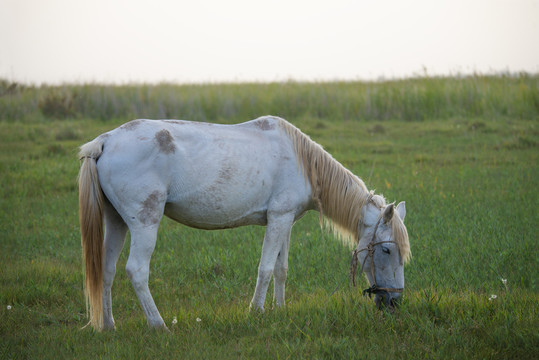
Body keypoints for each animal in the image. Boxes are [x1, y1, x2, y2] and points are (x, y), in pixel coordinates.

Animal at [78, 116, 412, 330]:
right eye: (387, 250)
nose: (395, 302)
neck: (303, 163)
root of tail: (105, 142)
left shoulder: (285, 222)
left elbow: (281, 270)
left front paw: (280, 310)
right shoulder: (278, 219)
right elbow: (264, 269)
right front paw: (257, 312)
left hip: (117, 222)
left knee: (106, 271)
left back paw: (108, 326)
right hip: (144, 224)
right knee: (136, 270)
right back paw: (159, 325)